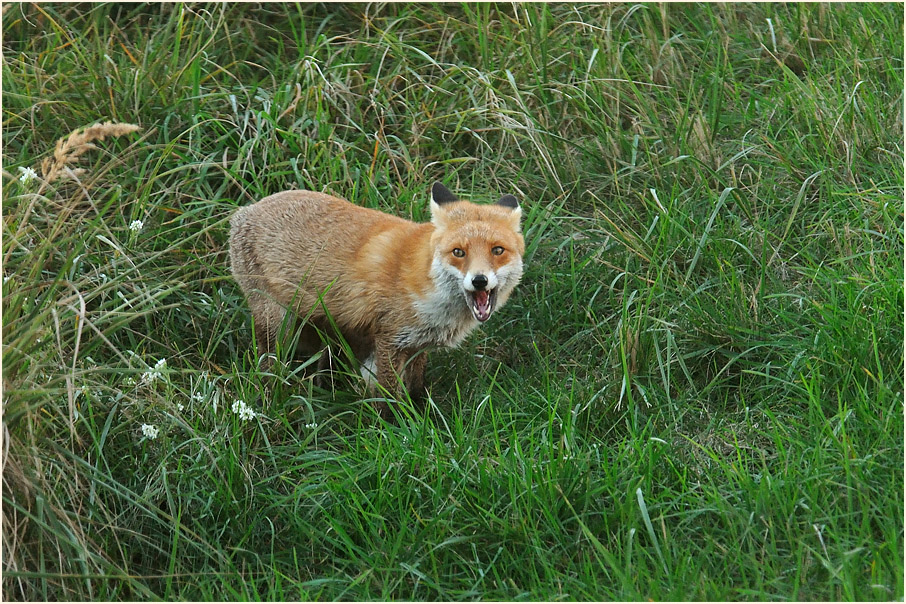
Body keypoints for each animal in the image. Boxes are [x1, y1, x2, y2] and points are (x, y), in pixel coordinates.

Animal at [228, 181, 525, 413]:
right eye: (458, 252)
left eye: (497, 250)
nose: (479, 280)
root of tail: (245, 210)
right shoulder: (389, 339)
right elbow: (389, 397)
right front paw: (393, 429)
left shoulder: (419, 344)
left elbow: (416, 388)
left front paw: (421, 415)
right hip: (278, 325)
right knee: (266, 365)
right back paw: (272, 395)